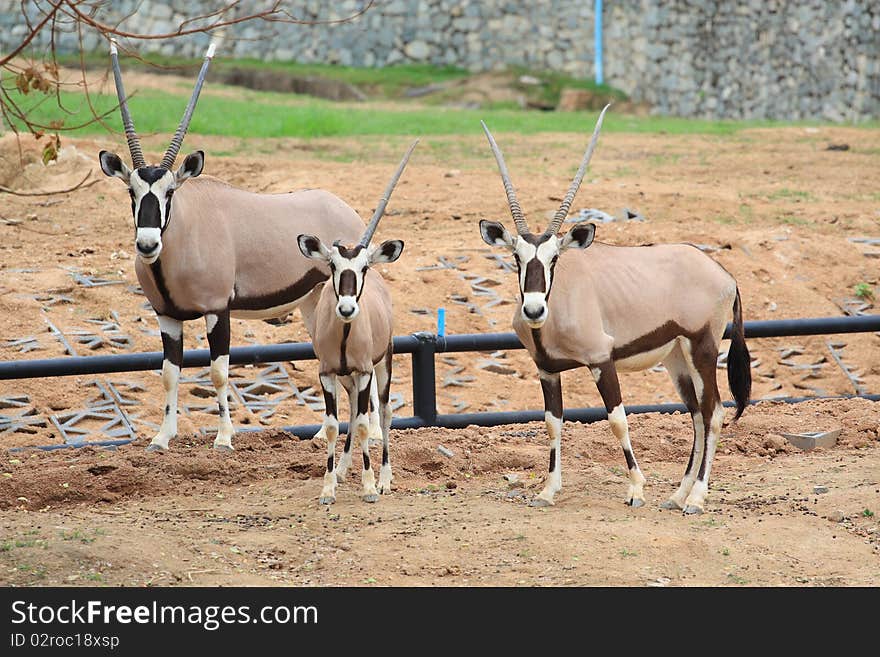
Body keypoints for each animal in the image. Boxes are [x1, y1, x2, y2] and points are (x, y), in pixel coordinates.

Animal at [298, 142, 418, 502]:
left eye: (362, 267)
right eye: (332, 266)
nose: (348, 308)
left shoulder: (364, 371)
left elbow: (367, 424)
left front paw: (369, 487)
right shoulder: (327, 373)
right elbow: (333, 425)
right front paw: (328, 487)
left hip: (382, 364)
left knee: (383, 413)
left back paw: (385, 479)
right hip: (347, 378)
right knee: (353, 409)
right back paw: (341, 470)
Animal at [482, 107, 748, 516]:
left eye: (554, 258)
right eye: (516, 258)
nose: (534, 309)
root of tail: (725, 274)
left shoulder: (600, 360)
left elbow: (617, 419)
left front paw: (637, 488)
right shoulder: (547, 371)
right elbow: (552, 422)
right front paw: (547, 490)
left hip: (702, 347)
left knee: (714, 412)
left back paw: (697, 498)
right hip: (676, 358)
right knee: (697, 415)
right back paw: (678, 495)